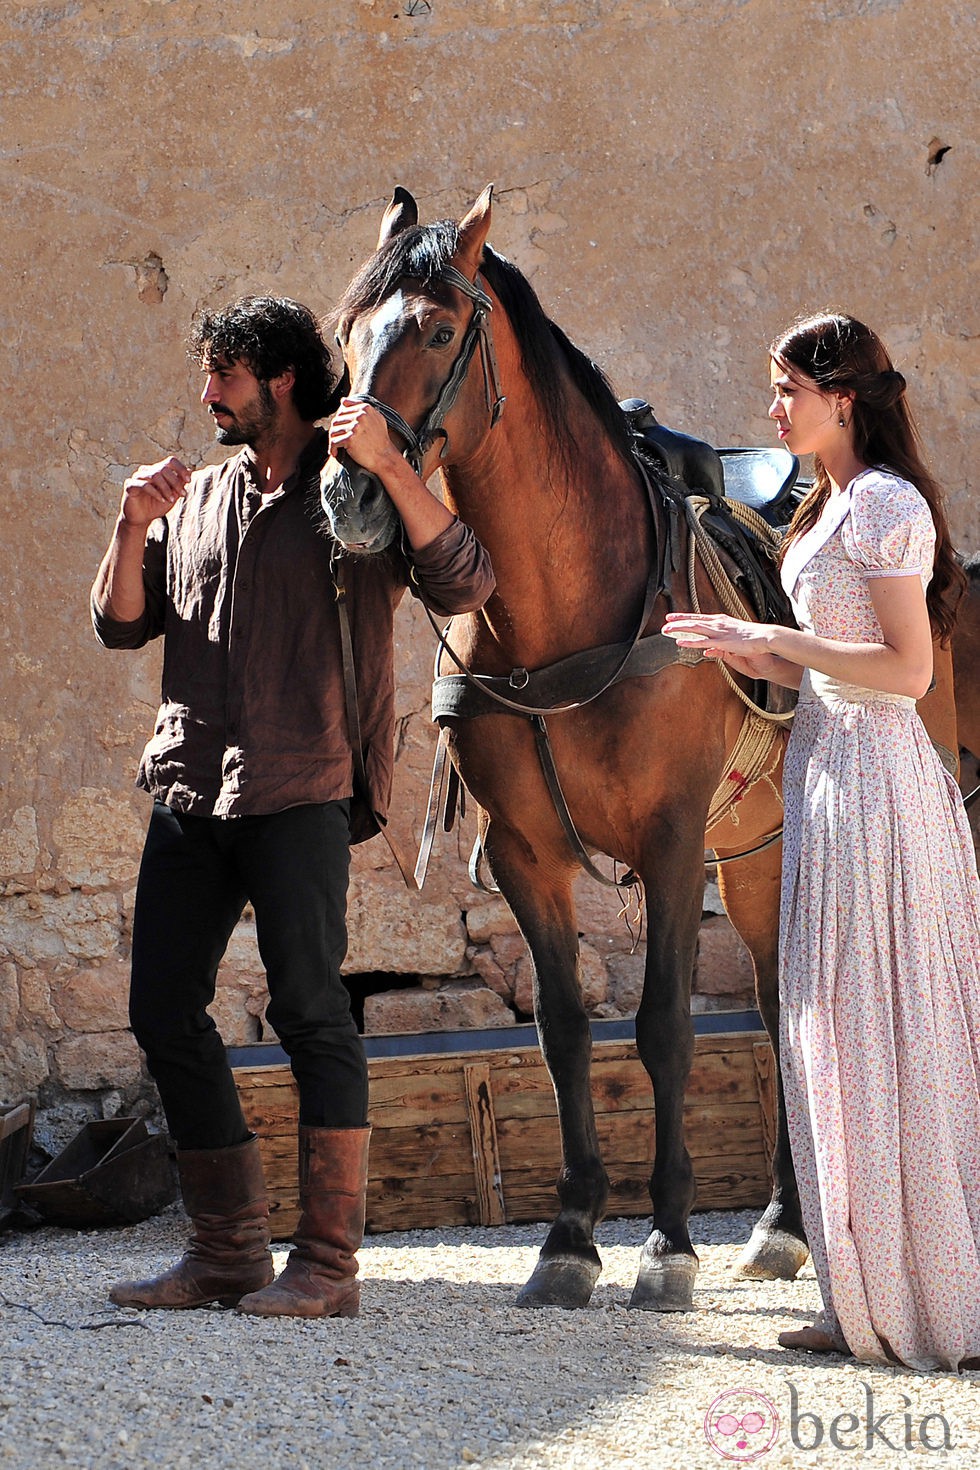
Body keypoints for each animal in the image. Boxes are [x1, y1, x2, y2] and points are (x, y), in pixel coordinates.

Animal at [320, 183, 975, 1311]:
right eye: (342, 334)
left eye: (440, 330)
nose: (349, 494)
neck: (563, 611)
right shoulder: (526, 855)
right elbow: (563, 1029)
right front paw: (570, 1238)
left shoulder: (668, 840)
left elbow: (664, 1025)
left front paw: (666, 1242)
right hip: (756, 849)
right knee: (779, 1001)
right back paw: (782, 1221)